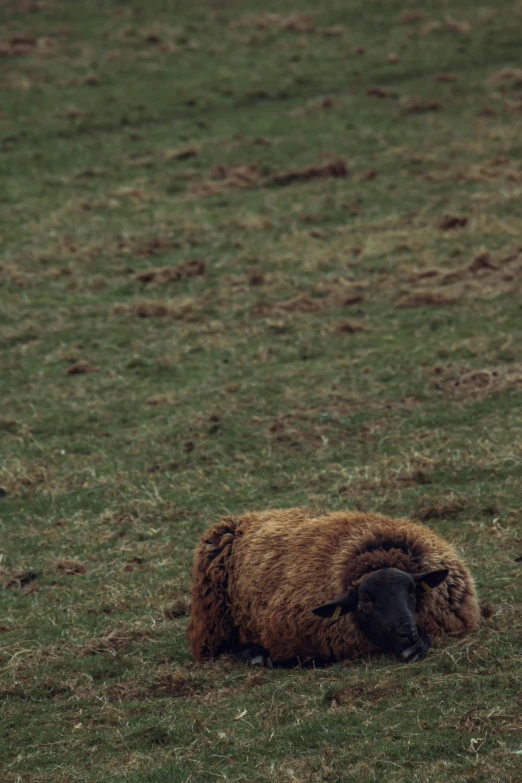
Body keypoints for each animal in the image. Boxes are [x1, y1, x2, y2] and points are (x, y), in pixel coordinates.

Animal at [188, 508, 480, 668]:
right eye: (365, 600)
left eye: (412, 589)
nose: (406, 632)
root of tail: (244, 519)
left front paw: (418, 644)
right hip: (213, 622)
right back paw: (255, 655)